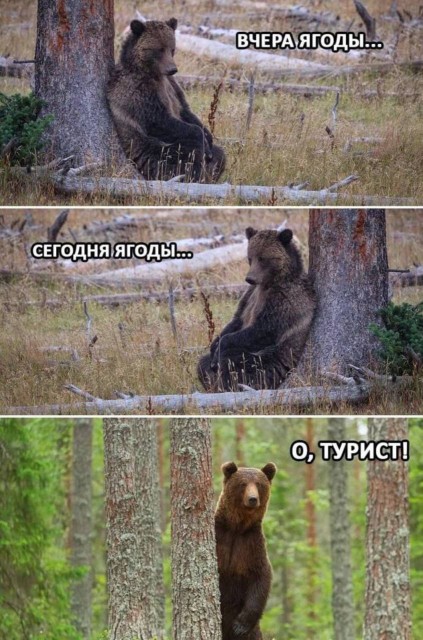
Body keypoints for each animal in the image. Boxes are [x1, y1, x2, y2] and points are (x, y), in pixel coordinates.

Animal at [107, 18, 226, 182]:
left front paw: (208, 136)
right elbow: (158, 120)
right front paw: (201, 139)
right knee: (183, 157)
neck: (153, 73)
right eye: (159, 49)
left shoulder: (172, 87)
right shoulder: (138, 91)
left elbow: (185, 110)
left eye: (172, 48)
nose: (172, 69)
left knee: (221, 155)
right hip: (151, 149)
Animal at [198, 227, 316, 391]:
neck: (269, 283)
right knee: (202, 364)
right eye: (250, 257)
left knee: (239, 366)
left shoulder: (285, 300)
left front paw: (221, 347)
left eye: (263, 258)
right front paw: (215, 344)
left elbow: (263, 329)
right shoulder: (250, 296)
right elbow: (237, 320)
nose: (250, 278)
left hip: (271, 359)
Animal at [215, 461, 277, 640]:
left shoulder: (250, 545)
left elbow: (261, 577)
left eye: (259, 484)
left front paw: (240, 626)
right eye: (243, 484)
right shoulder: (221, 536)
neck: (237, 527)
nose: (252, 499)